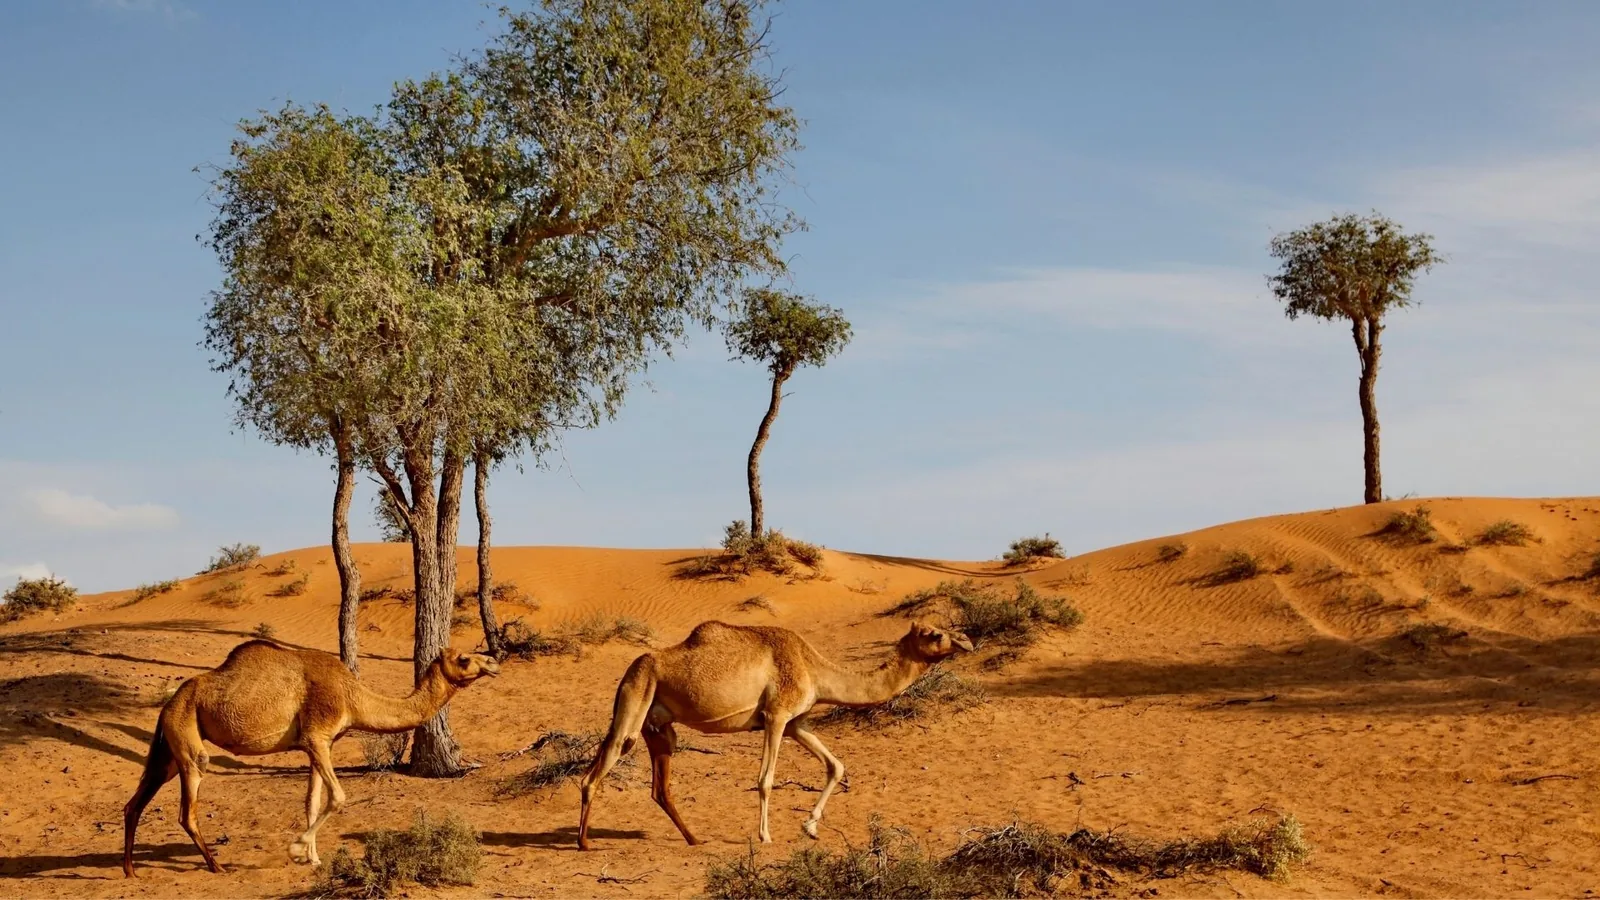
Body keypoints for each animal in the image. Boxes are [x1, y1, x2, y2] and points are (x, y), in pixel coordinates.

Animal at [122, 639, 499, 877]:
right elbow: (338, 797)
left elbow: (313, 801)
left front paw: (314, 859)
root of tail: (168, 704)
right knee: (187, 808)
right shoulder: (317, 735)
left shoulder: (320, 744)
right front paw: (297, 849)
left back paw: (130, 871)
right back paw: (216, 866)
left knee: (135, 803)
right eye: (464, 658)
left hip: (169, 750)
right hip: (188, 739)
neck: (352, 695)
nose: (494, 662)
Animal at [577, 620, 972, 850]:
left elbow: (836, 766)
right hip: (636, 699)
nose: (967, 641)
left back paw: (694, 839)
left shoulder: (798, 722)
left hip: (657, 726)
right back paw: (583, 843)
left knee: (659, 786)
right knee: (596, 772)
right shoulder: (776, 716)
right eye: (935, 634)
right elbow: (765, 780)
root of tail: (632, 667)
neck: (814, 668)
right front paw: (766, 835)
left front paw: (810, 827)